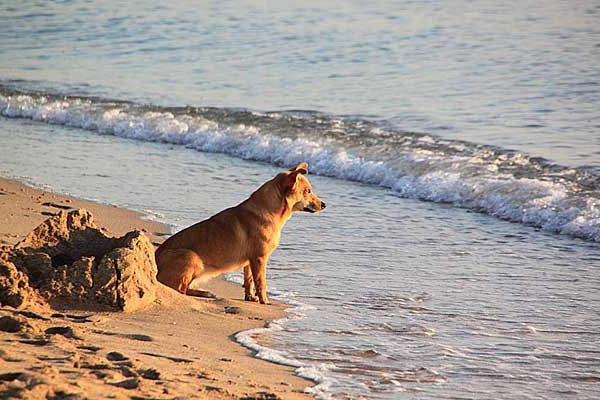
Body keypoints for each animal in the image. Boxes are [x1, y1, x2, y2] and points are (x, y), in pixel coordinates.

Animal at [154, 162, 324, 304]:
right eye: (308, 191)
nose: (324, 205)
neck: (269, 210)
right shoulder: (259, 258)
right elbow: (261, 282)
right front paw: (264, 301)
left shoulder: (250, 261)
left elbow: (249, 281)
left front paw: (250, 297)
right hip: (192, 257)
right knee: (179, 290)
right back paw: (204, 293)